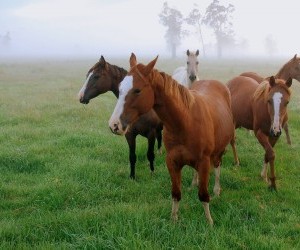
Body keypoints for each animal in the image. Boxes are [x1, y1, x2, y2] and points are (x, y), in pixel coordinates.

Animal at [109, 53, 236, 225]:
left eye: (137, 90)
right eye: (120, 88)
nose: (114, 124)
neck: (186, 122)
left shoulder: (204, 161)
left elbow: (203, 195)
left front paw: (209, 222)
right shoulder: (172, 161)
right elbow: (176, 193)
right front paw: (174, 220)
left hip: (219, 151)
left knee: (217, 166)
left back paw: (216, 190)